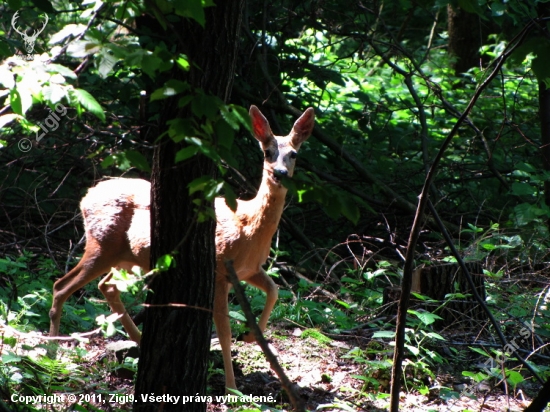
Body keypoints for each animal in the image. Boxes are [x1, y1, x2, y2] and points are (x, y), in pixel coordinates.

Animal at [49, 105, 316, 390]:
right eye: (267, 152)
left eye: (293, 154)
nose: (280, 173)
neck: (248, 226)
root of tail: (85, 197)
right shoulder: (220, 271)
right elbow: (223, 331)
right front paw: (232, 388)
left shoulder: (251, 269)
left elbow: (274, 290)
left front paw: (250, 336)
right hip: (102, 244)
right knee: (61, 285)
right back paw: (51, 354)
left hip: (128, 259)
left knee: (105, 285)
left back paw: (140, 340)